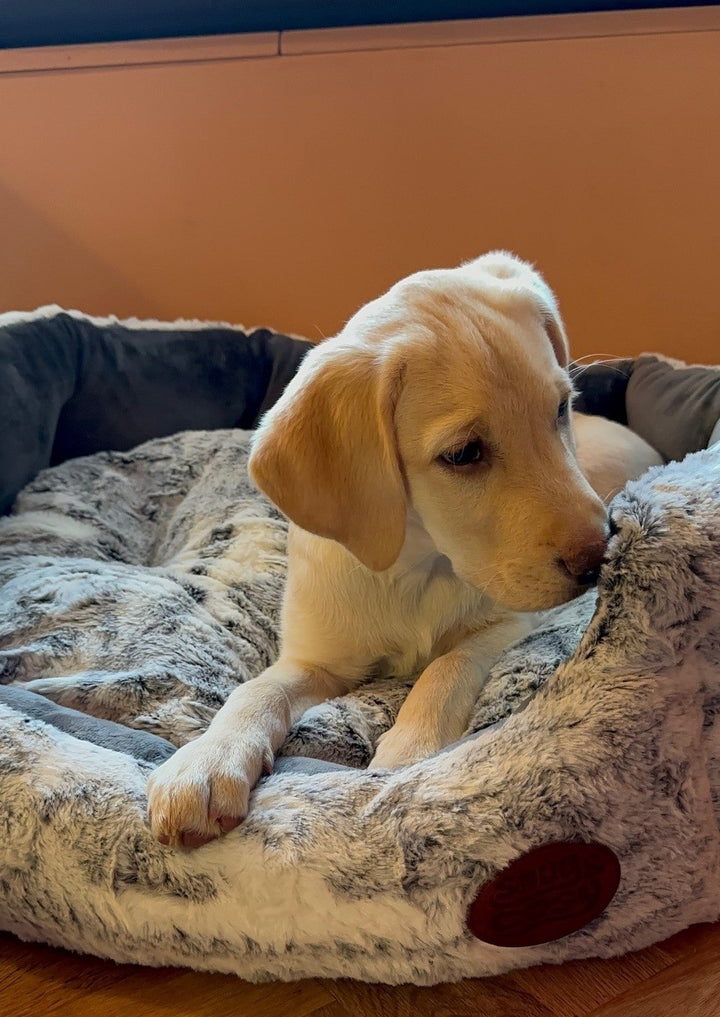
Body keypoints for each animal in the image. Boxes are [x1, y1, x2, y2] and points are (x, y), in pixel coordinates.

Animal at [147, 250, 663, 846]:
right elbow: (256, 690)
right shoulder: (315, 658)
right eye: (463, 454)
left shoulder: (509, 621)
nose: (598, 558)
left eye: (561, 408)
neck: (417, 565)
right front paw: (205, 761)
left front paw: (411, 750)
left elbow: (447, 666)